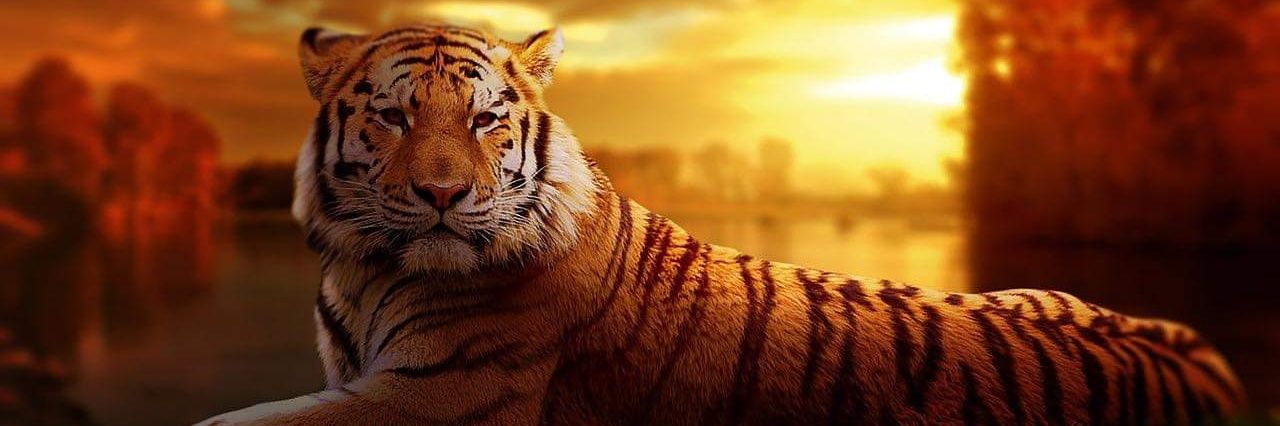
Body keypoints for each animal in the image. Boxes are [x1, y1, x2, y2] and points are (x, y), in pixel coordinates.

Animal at [199, 23, 1246, 425]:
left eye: (488, 119)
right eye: (394, 115)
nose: (446, 197)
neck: (365, 269)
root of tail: (1193, 355)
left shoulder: (436, 396)